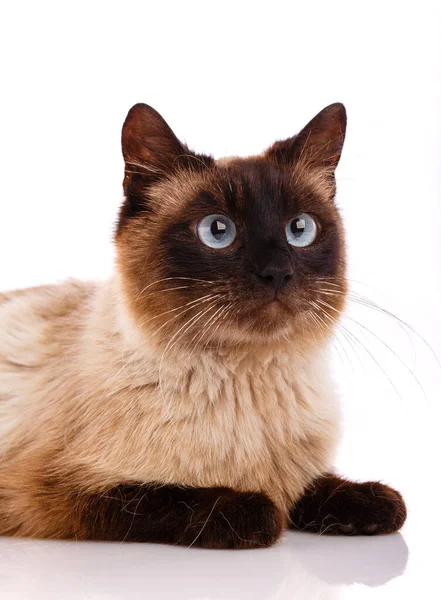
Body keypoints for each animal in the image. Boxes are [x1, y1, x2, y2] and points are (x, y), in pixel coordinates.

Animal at [0, 102, 406, 548]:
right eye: (217, 230)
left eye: (300, 229)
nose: (277, 273)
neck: (247, 381)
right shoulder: (58, 494)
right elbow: (188, 500)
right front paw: (261, 512)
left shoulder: (298, 473)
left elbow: (311, 487)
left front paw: (372, 507)